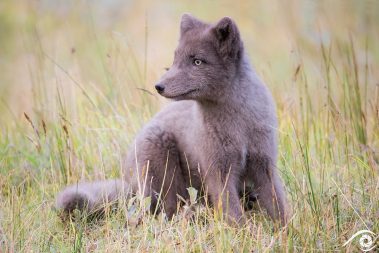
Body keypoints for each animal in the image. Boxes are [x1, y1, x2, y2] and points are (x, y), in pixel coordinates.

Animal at [55, 13, 288, 225]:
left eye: (197, 61)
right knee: (166, 211)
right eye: (175, 59)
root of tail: (128, 179)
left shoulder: (264, 164)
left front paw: (286, 231)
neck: (238, 124)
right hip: (163, 167)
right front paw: (242, 232)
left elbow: (278, 203)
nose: (159, 86)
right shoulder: (218, 170)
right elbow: (231, 209)